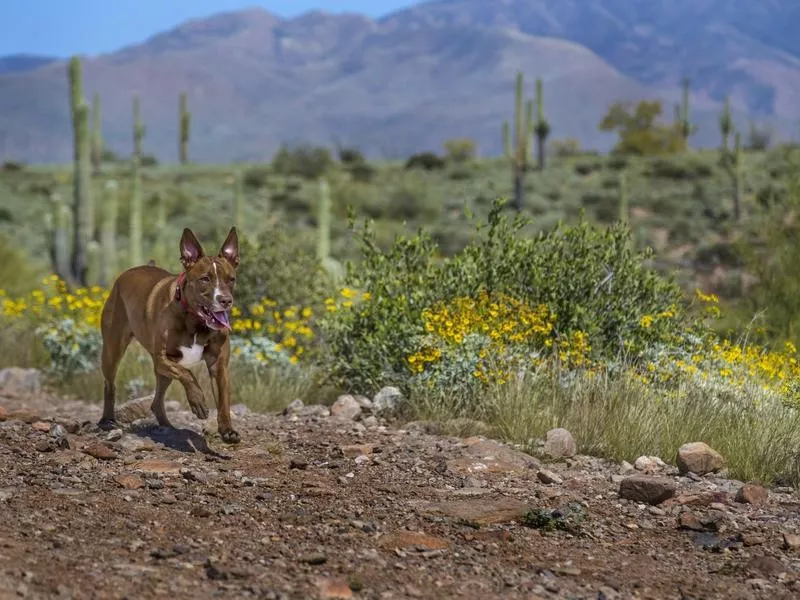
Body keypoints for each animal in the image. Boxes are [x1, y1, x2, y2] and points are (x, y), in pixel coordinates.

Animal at [98, 227, 241, 442]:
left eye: (230, 279)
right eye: (205, 279)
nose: (225, 300)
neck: (195, 321)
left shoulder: (218, 365)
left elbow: (223, 400)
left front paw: (227, 430)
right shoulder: (163, 358)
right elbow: (187, 374)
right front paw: (199, 402)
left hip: (161, 372)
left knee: (157, 401)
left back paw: (168, 426)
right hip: (112, 349)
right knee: (109, 384)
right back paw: (107, 420)